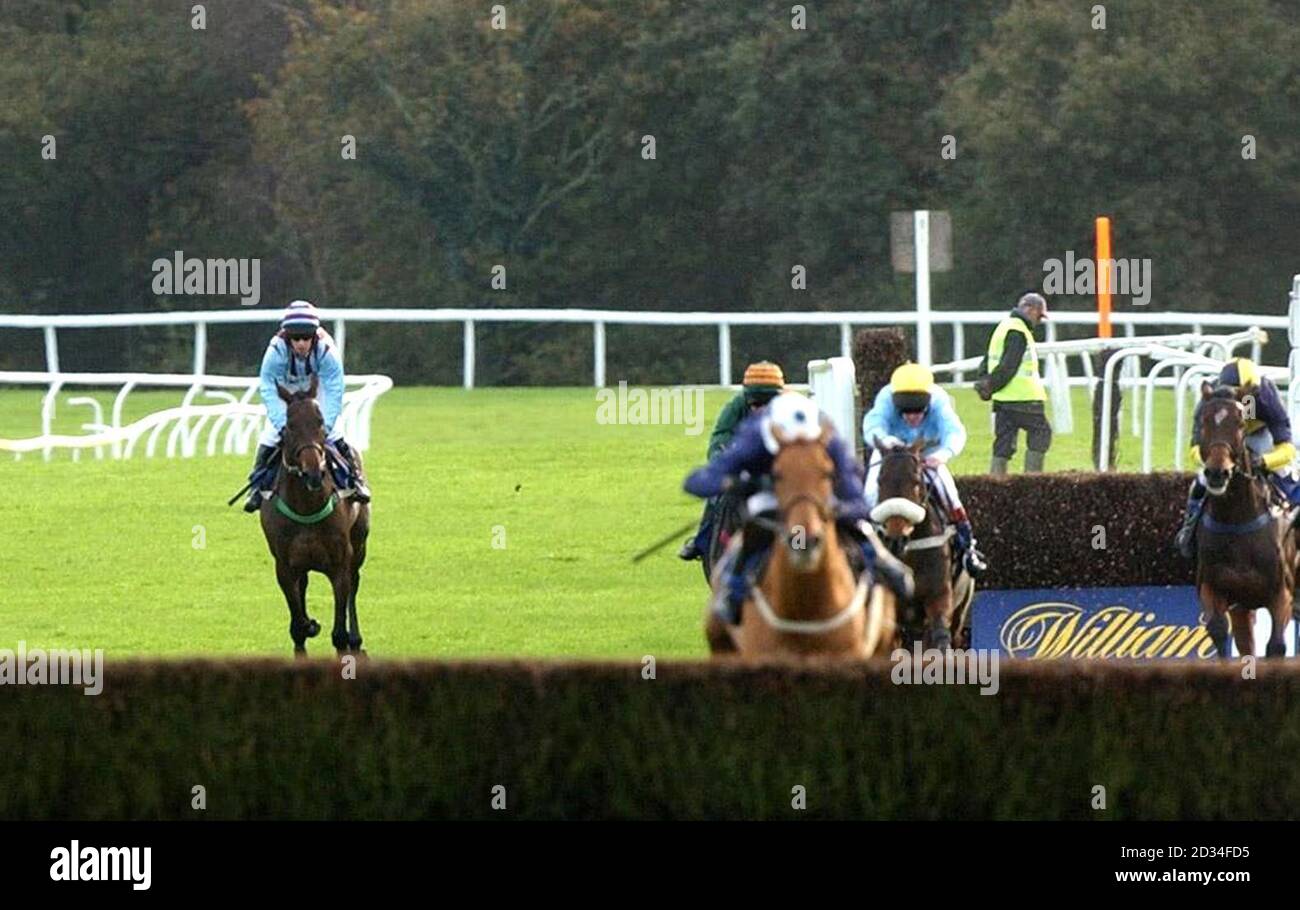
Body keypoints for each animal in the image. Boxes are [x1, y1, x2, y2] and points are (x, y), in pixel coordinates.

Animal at [260, 374, 371, 657]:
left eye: (320, 423)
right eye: (289, 426)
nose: (313, 473)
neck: (306, 506)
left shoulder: (340, 563)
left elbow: (339, 633)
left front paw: (346, 640)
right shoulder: (285, 566)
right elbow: (298, 625)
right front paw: (309, 625)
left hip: (359, 545)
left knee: (355, 584)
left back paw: (357, 639)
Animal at [1190, 387, 1294, 657]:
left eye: (1240, 423)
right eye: (1204, 421)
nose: (1218, 473)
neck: (1236, 519)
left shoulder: (1282, 595)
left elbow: (1276, 646)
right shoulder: (1215, 589)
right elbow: (1219, 631)